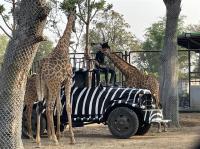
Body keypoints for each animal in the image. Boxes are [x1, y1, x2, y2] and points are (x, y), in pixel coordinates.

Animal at [35, 12, 76, 146]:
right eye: (76, 18)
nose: (74, 28)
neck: (64, 47)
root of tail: (41, 69)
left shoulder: (59, 84)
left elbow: (59, 107)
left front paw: (58, 134)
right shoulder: (68, 81)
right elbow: (68, 107)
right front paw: (72, 138)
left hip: (45, 87)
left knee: (41, 107)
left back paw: (41, 140)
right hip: (52, 86)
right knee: (48, 107)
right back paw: (53, 140)